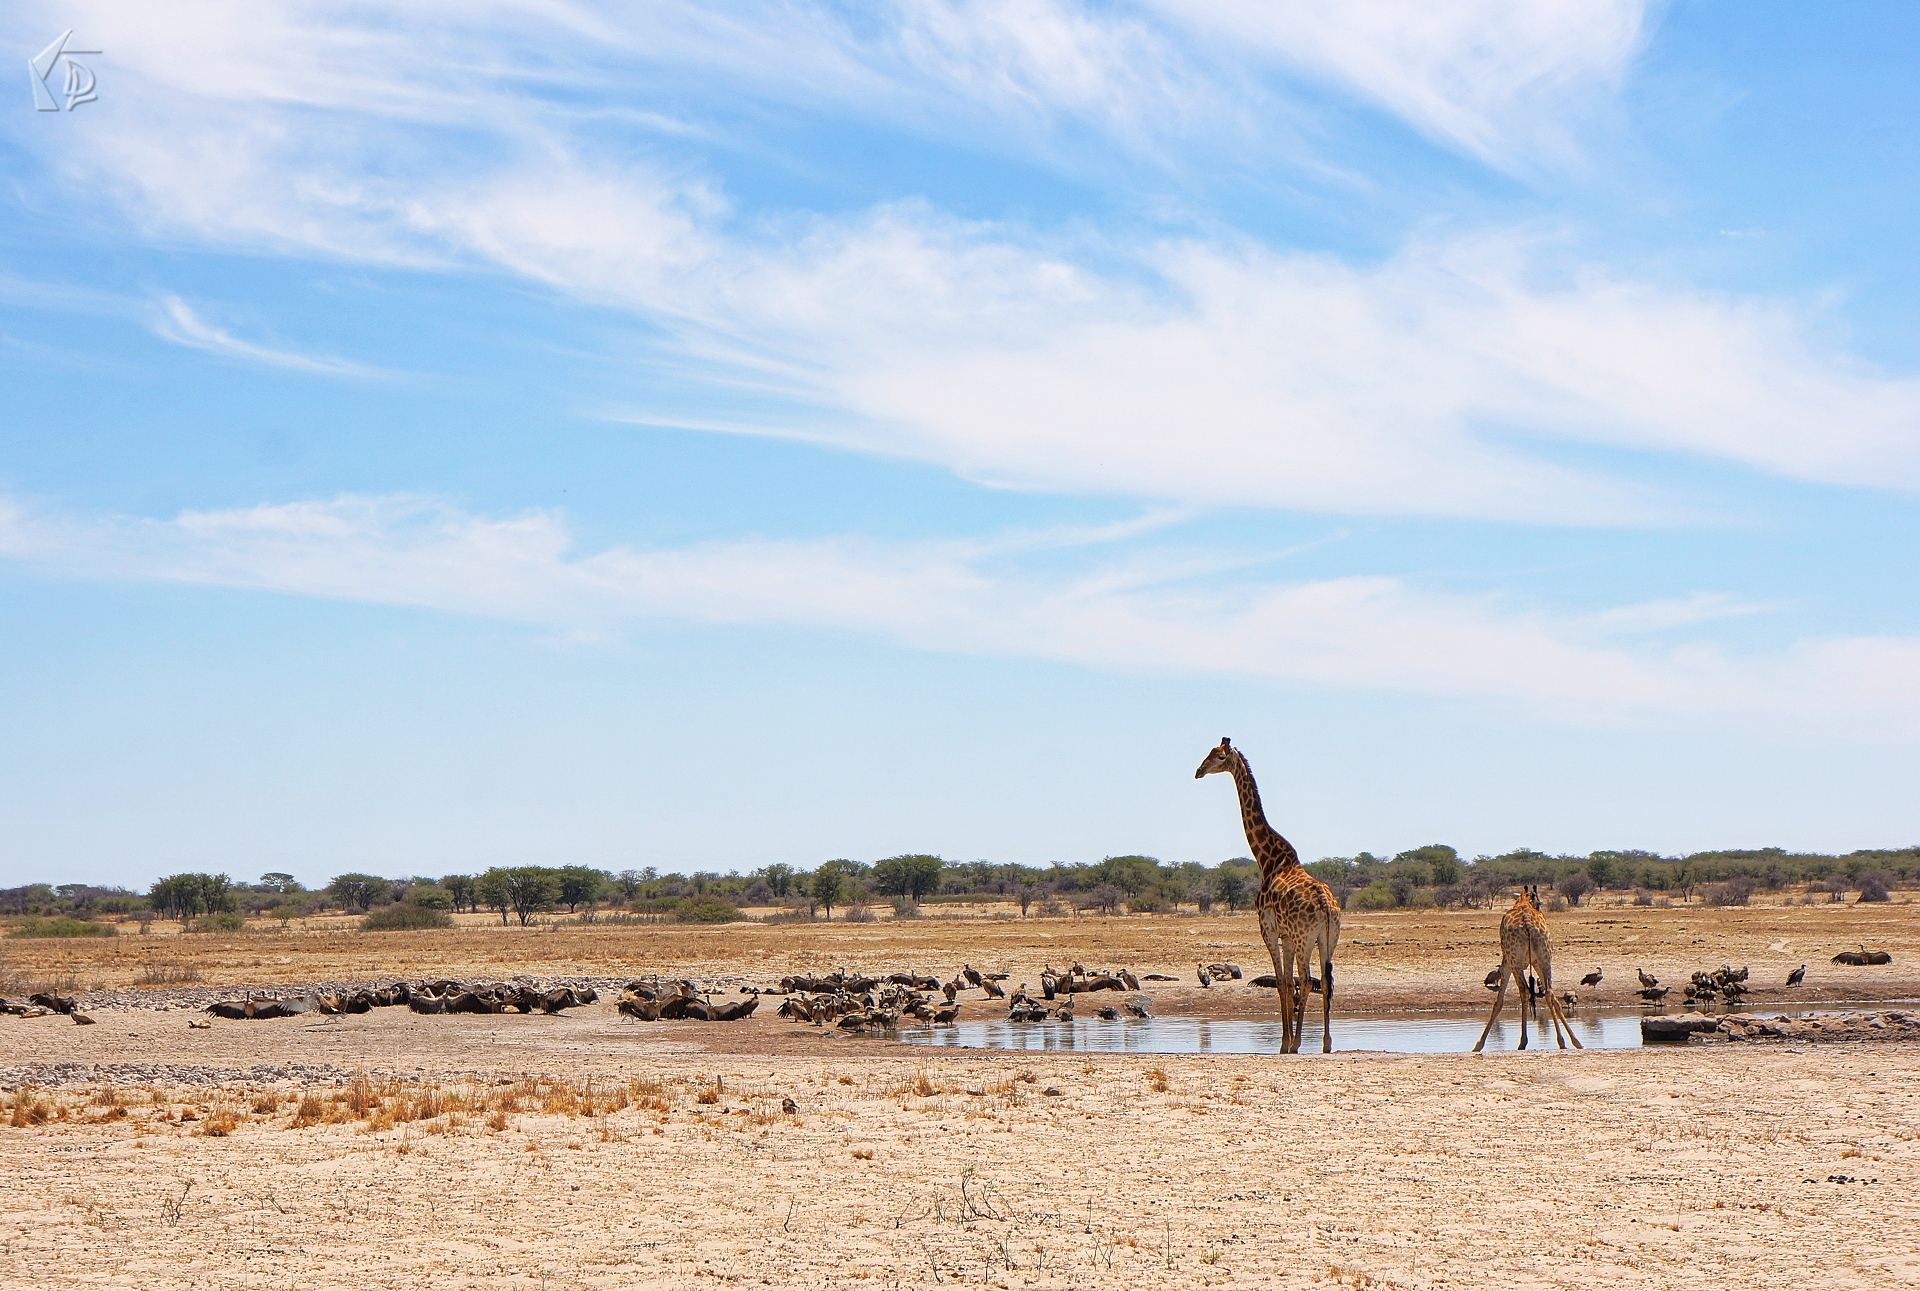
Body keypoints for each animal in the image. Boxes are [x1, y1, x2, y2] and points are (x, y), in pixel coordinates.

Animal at [1194, 737, 1341, 1054]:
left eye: (1220, 757)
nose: (1198, 771)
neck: (1268, 859)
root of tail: (1326, 905)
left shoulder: (1269, 930)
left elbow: (1285, 983)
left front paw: (1285, 1043)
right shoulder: (1286, 936)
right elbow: (1286, 982)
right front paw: (1287, 1040)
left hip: (1305, 939)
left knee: (1307, 980)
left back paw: (1299, 1043)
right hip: (1327, 939)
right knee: (1325, 980)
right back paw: (1326, 1043)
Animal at [1472, 886, 1583, 1052]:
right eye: (1540, 902)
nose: (1541, 911)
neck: (1523, 901)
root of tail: (1528, 925)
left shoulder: (1507, 963)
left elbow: (1499, 1001)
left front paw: (1478, 1045)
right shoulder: (1531, 962)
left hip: (1515, 960)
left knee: (1524, 991)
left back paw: (1523, 1042)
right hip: (1545, 958)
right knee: (1550, 993)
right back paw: (1569, 1041)